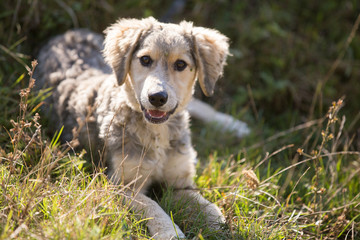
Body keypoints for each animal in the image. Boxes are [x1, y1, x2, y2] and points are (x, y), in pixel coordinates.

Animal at [35, 16, 245, 238]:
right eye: (145, 60)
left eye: (180, 64)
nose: (157, 97)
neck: (158, 134)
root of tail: (68, 33)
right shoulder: (121, 185)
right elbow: (152, 206)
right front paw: (170, 232)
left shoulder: (181, 183)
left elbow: (210, 208)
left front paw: (223, 227)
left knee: (197, 105)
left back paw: (233, 125)